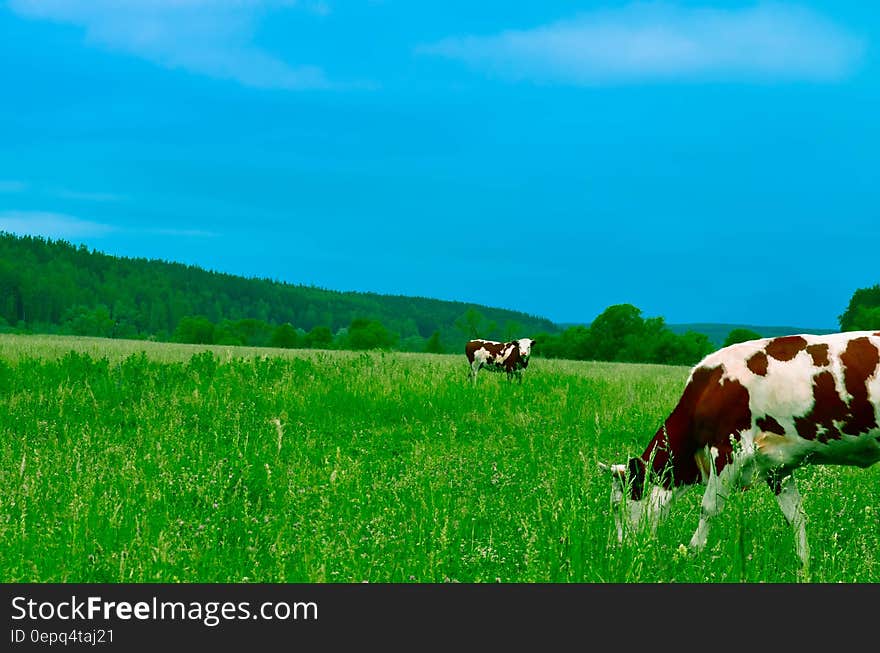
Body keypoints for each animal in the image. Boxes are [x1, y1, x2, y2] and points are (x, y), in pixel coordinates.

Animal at [600, 332, 880, 564]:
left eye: (618, 505)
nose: (619, 549)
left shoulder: (728, 450)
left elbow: (708, 508)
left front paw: (691, 556)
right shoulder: (778, 467)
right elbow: (796, 516)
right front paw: (805, 566)